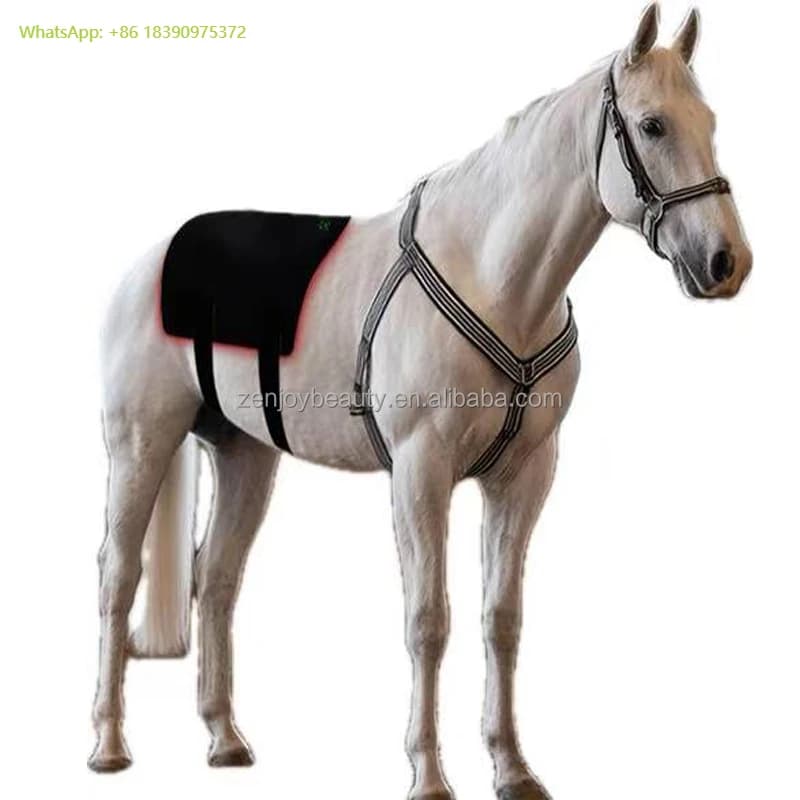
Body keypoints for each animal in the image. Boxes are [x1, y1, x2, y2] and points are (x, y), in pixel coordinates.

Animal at [89, 5, 752, 799]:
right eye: (652, 126)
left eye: (709, 120)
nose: (726, 263)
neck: (494, 279)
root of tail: (148, 265)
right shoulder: (420, 471)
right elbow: (428, 620)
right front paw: (429, 775)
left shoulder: (525, 476)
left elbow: (501, 618)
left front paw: (512, 768)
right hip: (140, 443)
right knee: (118, 576)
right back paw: (108, 745)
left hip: (246, 455)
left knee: (216, 579)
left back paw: (224, 739)